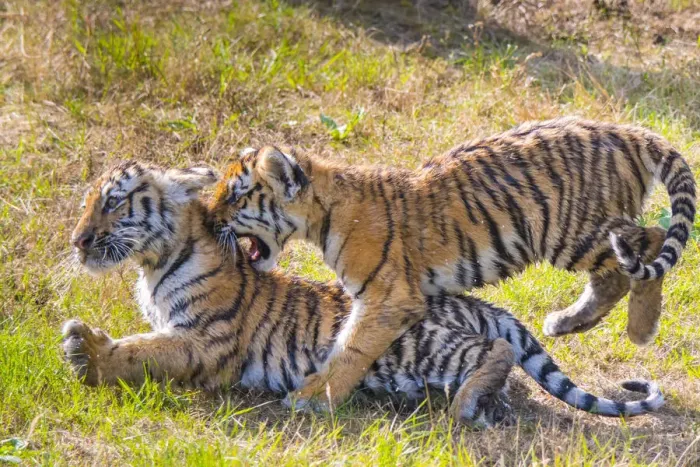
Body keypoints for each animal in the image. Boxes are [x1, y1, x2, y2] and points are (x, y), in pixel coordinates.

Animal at [62, 161, 664, 427]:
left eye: (113, 202)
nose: (78, 240)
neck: (154, 263)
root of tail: (479, 306)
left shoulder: (206, 340)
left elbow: (145, 351)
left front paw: (85, 351)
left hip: (423, 346)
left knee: (497, 352)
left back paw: (470, 404)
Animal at [208, 117, 696, 409]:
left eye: (234, 196)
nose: (210, 220)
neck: (322, 211)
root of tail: (626, 132)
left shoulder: (387, 299)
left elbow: (350, 350)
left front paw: (311, 397)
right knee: (629, 260)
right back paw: (566, 323)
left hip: (571, 234)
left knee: (645, 245)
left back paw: (639, 329)